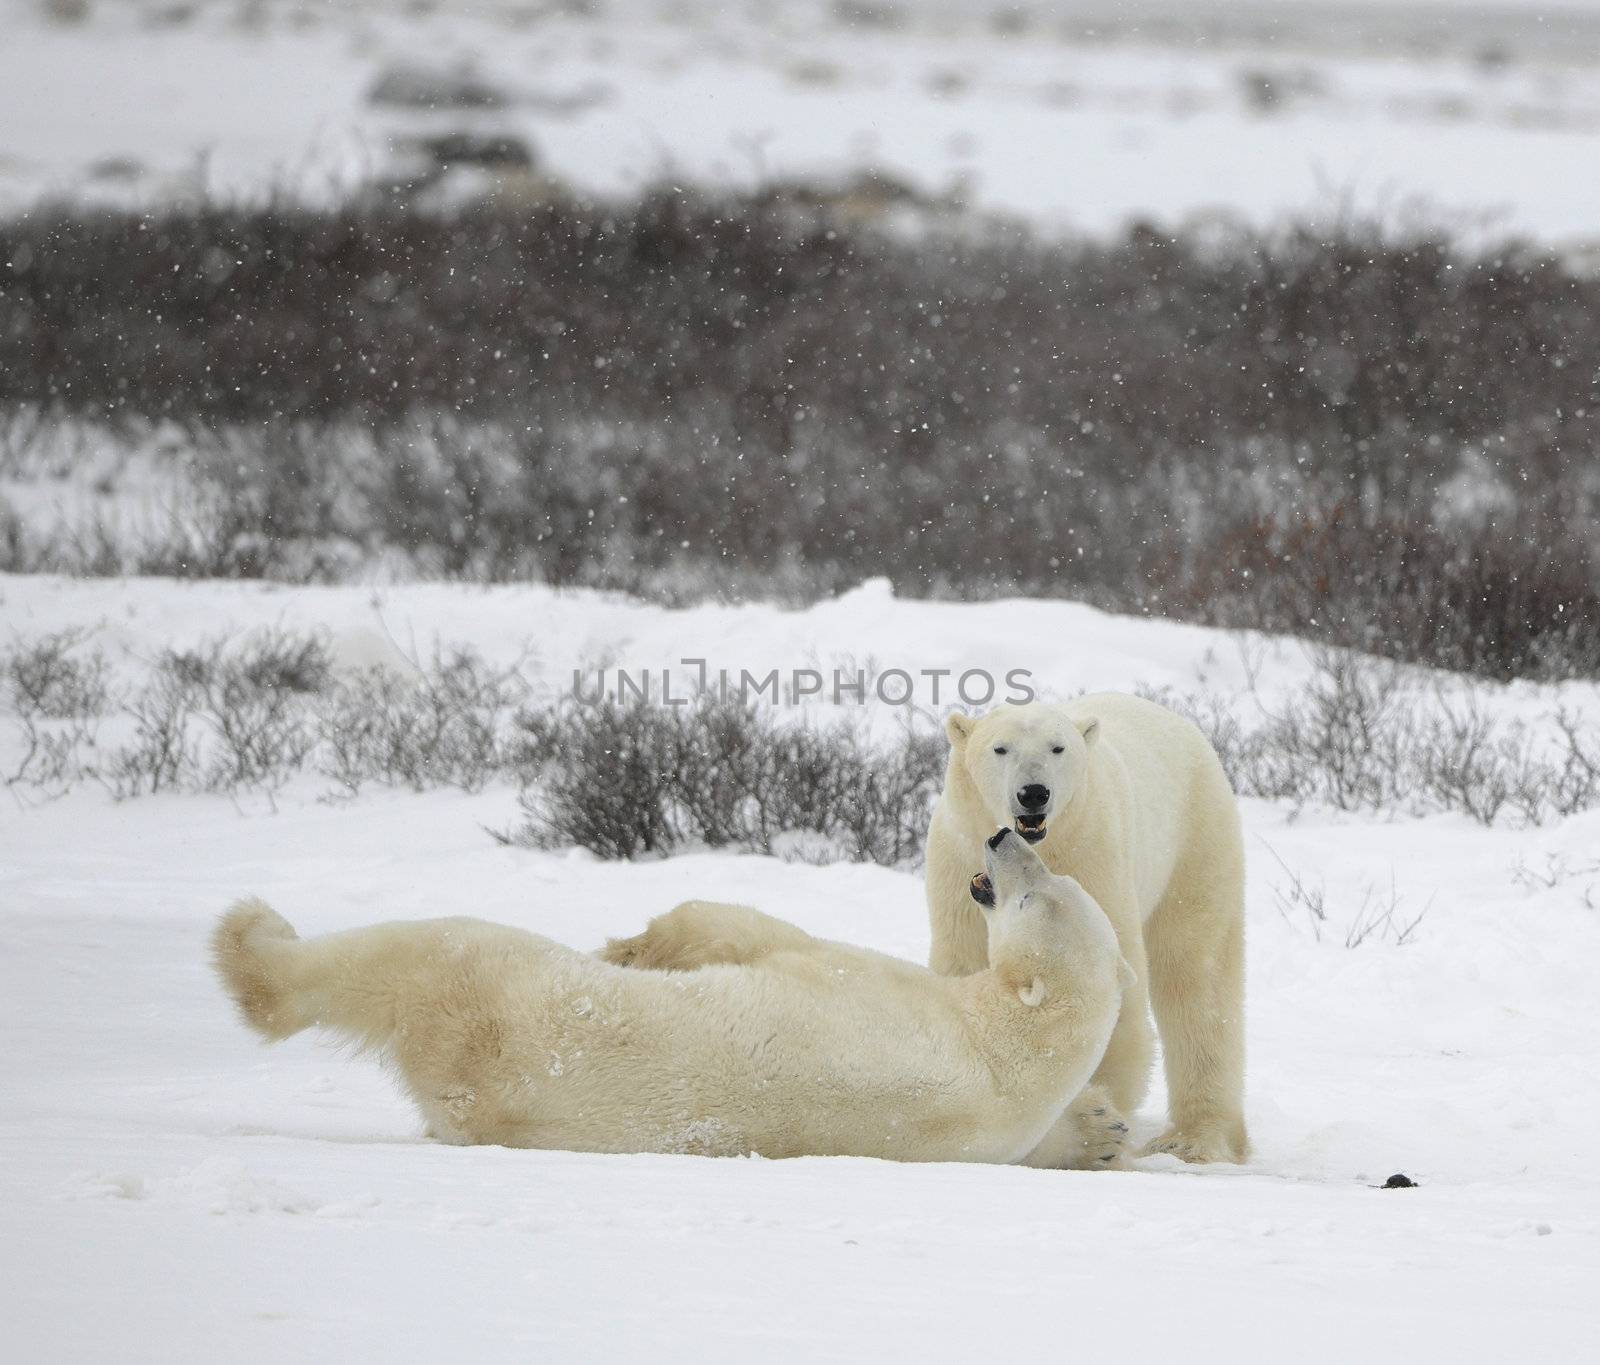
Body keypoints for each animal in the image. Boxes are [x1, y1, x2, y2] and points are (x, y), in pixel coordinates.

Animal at [212, 832, 1132, 1158]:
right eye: (1055, 878)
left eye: (1033, 895)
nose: (1004, 834)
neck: (1002, 1046)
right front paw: (1102, 1126)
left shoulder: (863, 983)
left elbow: (757, 934)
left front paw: (637, 943)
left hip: (498, 996)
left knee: (412, 950)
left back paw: (251, 937)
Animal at [928, 697, 1248, 1164]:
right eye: (1000, 748)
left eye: (1057, 748)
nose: (1033, 792)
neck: (1047, 845)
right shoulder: (958, 865)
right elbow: (966, 971)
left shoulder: (1094, 856)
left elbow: (1106, 1003)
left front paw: (1091, 1122)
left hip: (1195, 838)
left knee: (1197, 975)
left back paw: (1194, 1139)